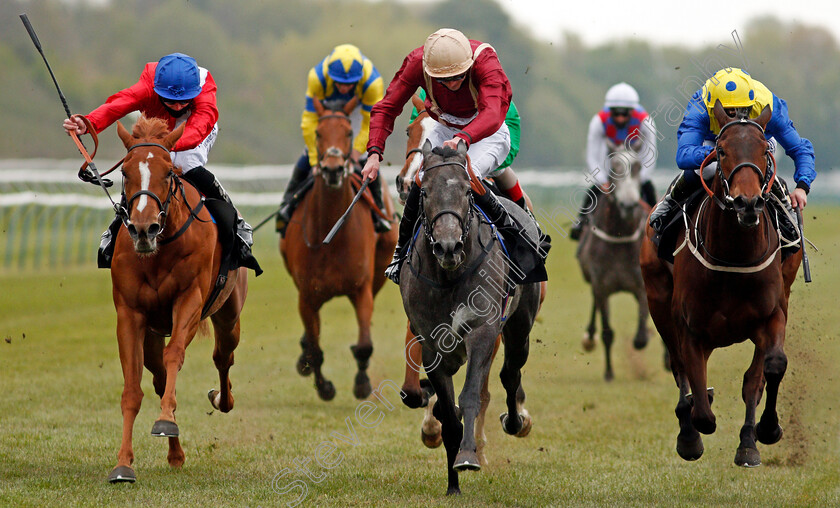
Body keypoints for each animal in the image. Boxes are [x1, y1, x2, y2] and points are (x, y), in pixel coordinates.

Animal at [106, 116, 248, 484]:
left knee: (222, 356)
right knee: (157, 379)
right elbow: (132, 389)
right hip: (153, 333)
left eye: (169, 172)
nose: (144, 229)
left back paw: (220, 398)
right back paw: (175, 453)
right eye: (125, 171)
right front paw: (123, 464)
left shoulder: (190, 300)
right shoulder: (129, 314)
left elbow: (176, 356)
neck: (159, 250)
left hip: (229, 314)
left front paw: (165, 420)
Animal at [280, 98, 398, 400]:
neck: (331, 236)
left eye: (348, 132)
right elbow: (315, 347)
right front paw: (324, 387)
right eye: (318, 133)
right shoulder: (307, 296)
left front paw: (362, 383)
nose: (332, 169)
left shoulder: (362, 289)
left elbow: (365, 345)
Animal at [576, 141, 652, 380]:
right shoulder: (601, 287)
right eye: (614, 167)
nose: (628, 205)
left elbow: (641, 337)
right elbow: (607, 332)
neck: (620, 235)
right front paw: (609, 373)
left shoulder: (642, 286)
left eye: (637, 166)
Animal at [640, 102, 804, 468]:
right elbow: (700, 404)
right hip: (658, 301)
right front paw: (692, 432)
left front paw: (763, 432)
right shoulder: (689, 328)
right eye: (722, 150)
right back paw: (688, 429)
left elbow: (769, 370)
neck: (734, 256)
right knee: (680, 370)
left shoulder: (772, 315)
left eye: (765, 151)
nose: (747, 203)